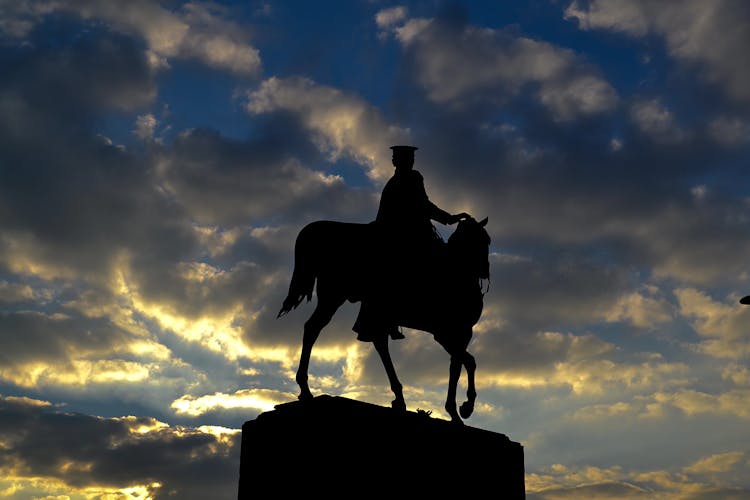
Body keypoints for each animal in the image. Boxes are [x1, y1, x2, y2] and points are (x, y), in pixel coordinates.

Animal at [278, 217, 494, 424]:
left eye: (487, 240)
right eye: (481, 240)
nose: (485, 271)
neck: (457, 273)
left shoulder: (458, 334)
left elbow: (457, 366)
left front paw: (456, 412)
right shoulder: (446, 333)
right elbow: (468, 362)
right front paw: (465, 407)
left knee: (372, 340)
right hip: (335, 296)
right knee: (315, 329)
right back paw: (306, 388)